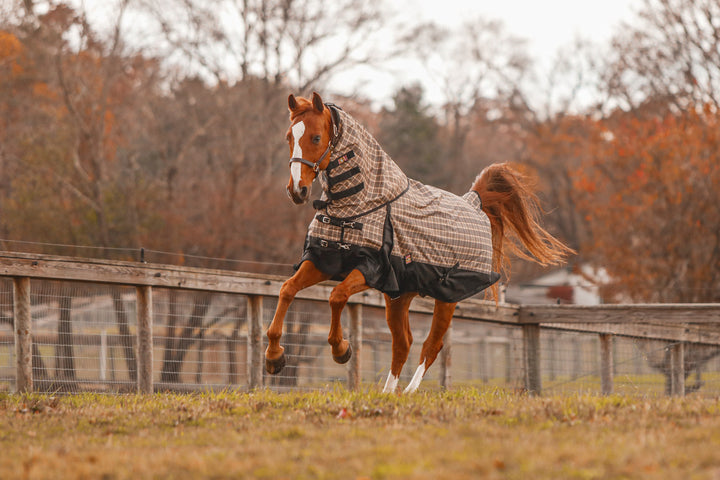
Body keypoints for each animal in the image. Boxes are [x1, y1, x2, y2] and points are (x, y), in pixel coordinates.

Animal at [264, 92, 572, 392]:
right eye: (289, 137)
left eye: (316, 137)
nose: (297, 190)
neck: (362, 206)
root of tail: (474, 202)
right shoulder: (323, 259)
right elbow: (287, 289)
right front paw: (274, 357)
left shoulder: (370, 269)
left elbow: (336, 296)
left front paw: (341, 349)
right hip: (400, 296)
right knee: (403, 344)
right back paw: (388, 394)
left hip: (447, 298)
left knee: (431, 346)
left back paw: (410, 391)